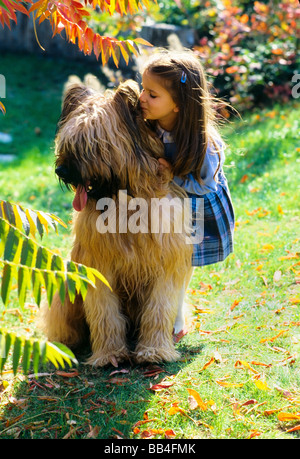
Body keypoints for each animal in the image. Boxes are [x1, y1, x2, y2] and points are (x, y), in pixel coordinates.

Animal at [41, 78, 192, 366]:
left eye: (90, 143)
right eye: (67, 142)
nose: (61, 170)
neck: (123, 203)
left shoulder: (165, 262)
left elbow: (159, 307)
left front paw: (153, 351)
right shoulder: (98, 264)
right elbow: (105, 312)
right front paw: (110, 354)